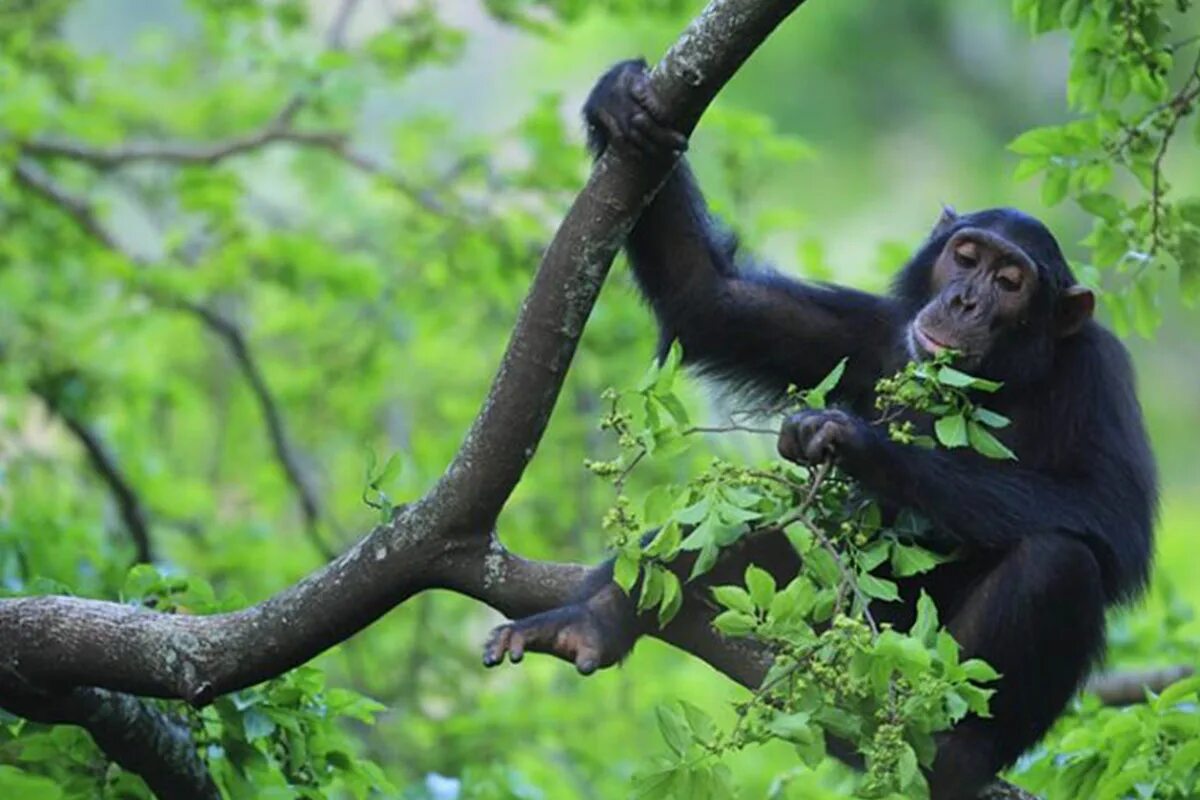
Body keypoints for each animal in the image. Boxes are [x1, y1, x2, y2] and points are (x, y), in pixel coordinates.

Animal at [482, 59, 1156, 796]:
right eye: (966, 256)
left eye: (1010, 281)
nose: (964, 300)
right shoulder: (870, 334)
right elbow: (711, 300)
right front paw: (621, 100)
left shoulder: (1101, 376)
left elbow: (1108, 513)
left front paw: (853, 442)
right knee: (753, 515)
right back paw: (589, 622)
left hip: (915, 668)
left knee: (1058, 562)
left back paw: (956, 751)